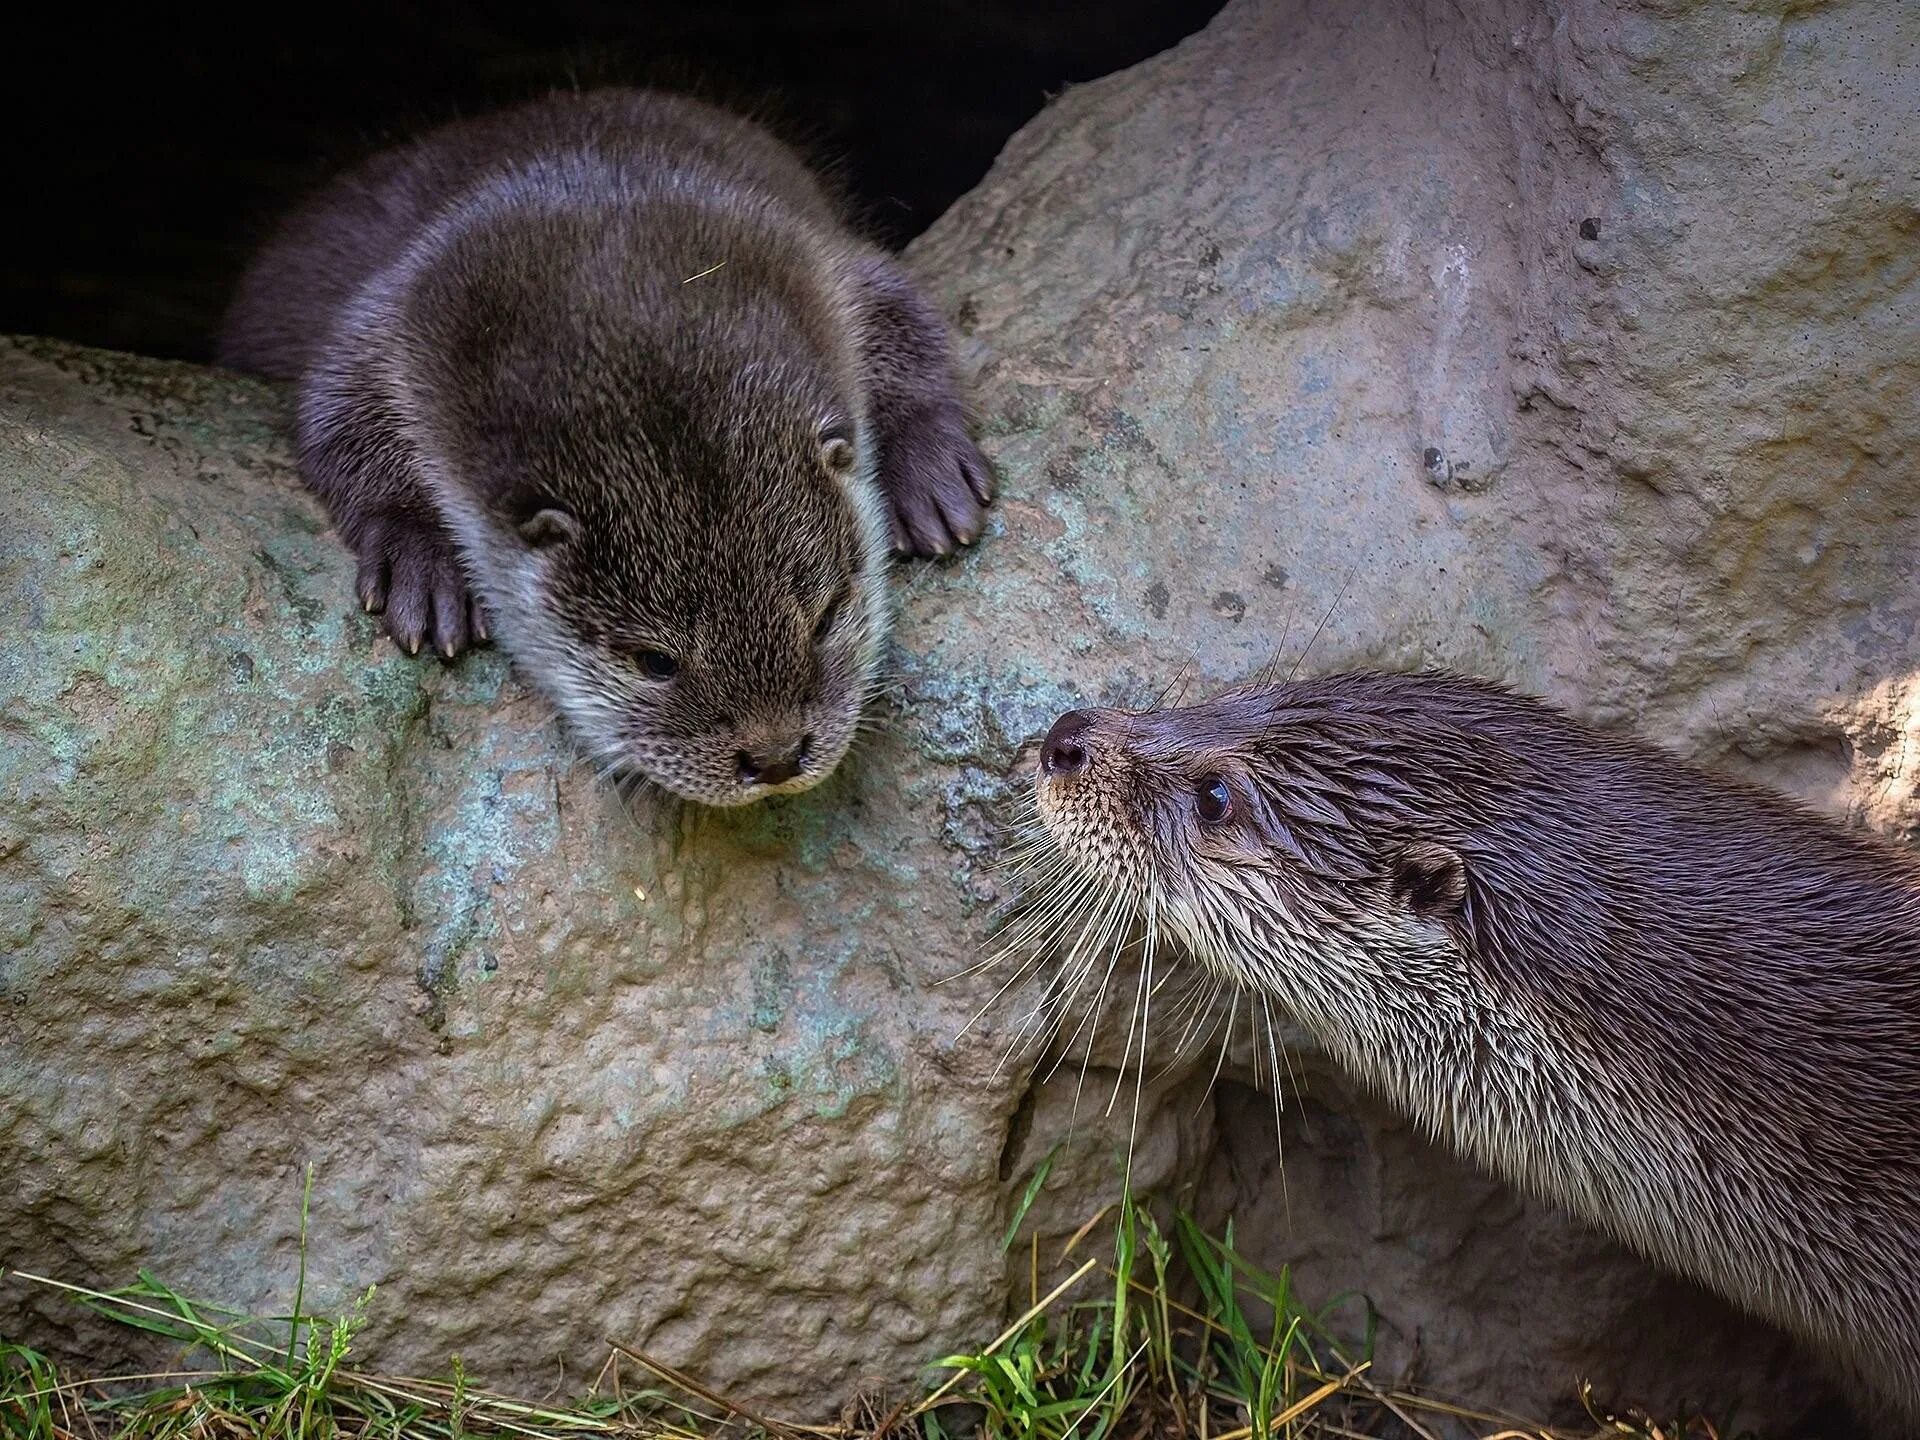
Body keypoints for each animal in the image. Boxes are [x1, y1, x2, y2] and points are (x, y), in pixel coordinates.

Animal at [224, 87, 990, 814]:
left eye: (827, 617)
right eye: (655, 661)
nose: (773, 757)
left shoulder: (815, 269)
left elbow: (905, 313)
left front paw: (929, 470)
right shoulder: (395, 326)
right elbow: (335, 416)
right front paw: (421, 559)